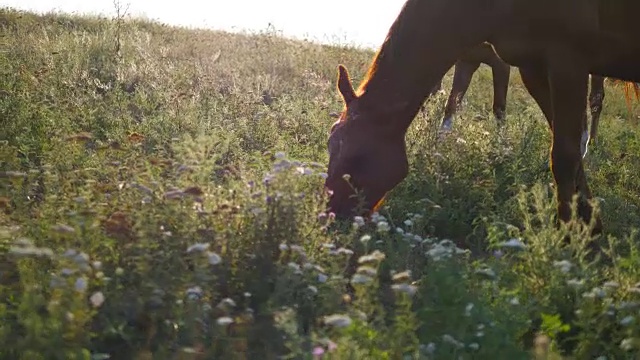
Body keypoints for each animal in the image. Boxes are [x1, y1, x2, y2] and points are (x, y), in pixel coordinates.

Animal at [324, 0, 640, 235]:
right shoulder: (534, 68)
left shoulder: (568, 60)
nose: (330, 217)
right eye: (330, 145)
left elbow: (563, 156)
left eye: (359, 156)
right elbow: (568, 152)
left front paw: (569, 240)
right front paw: (590, 228)